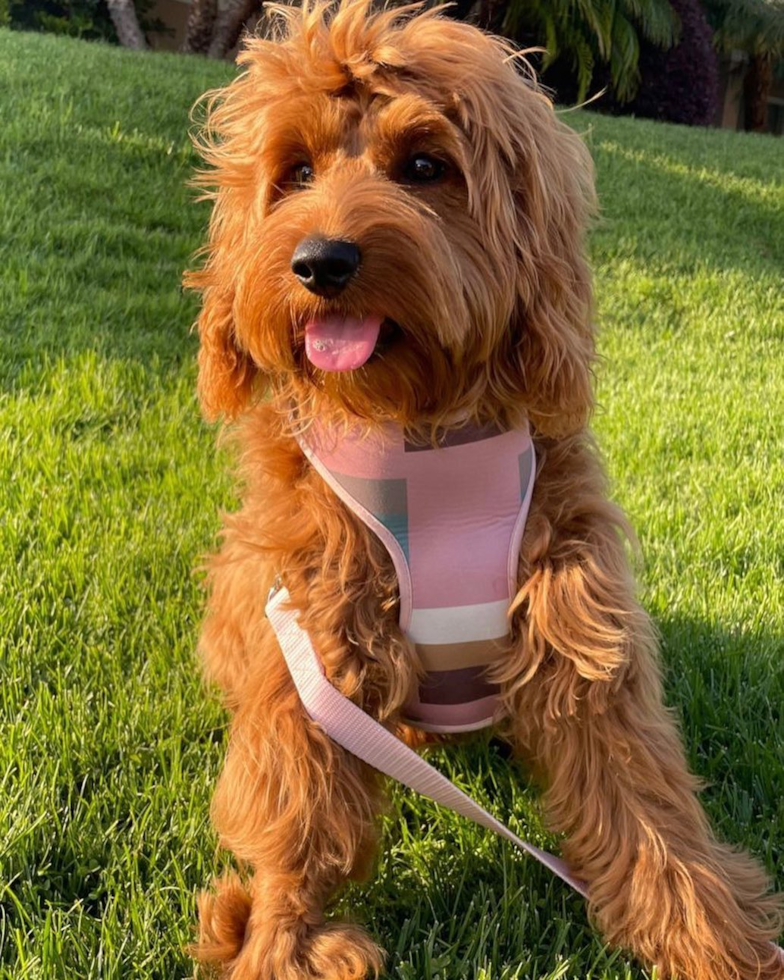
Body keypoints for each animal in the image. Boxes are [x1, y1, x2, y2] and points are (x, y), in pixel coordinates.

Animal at [185, 3, 784, 976]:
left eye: (425, 168)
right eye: (296, 172)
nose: (319, 261)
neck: (426, 431)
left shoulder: (578, 627)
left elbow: (648, 811)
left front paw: (716, 944)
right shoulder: (312, 644)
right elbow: (297, 811)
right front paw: (280, 944)